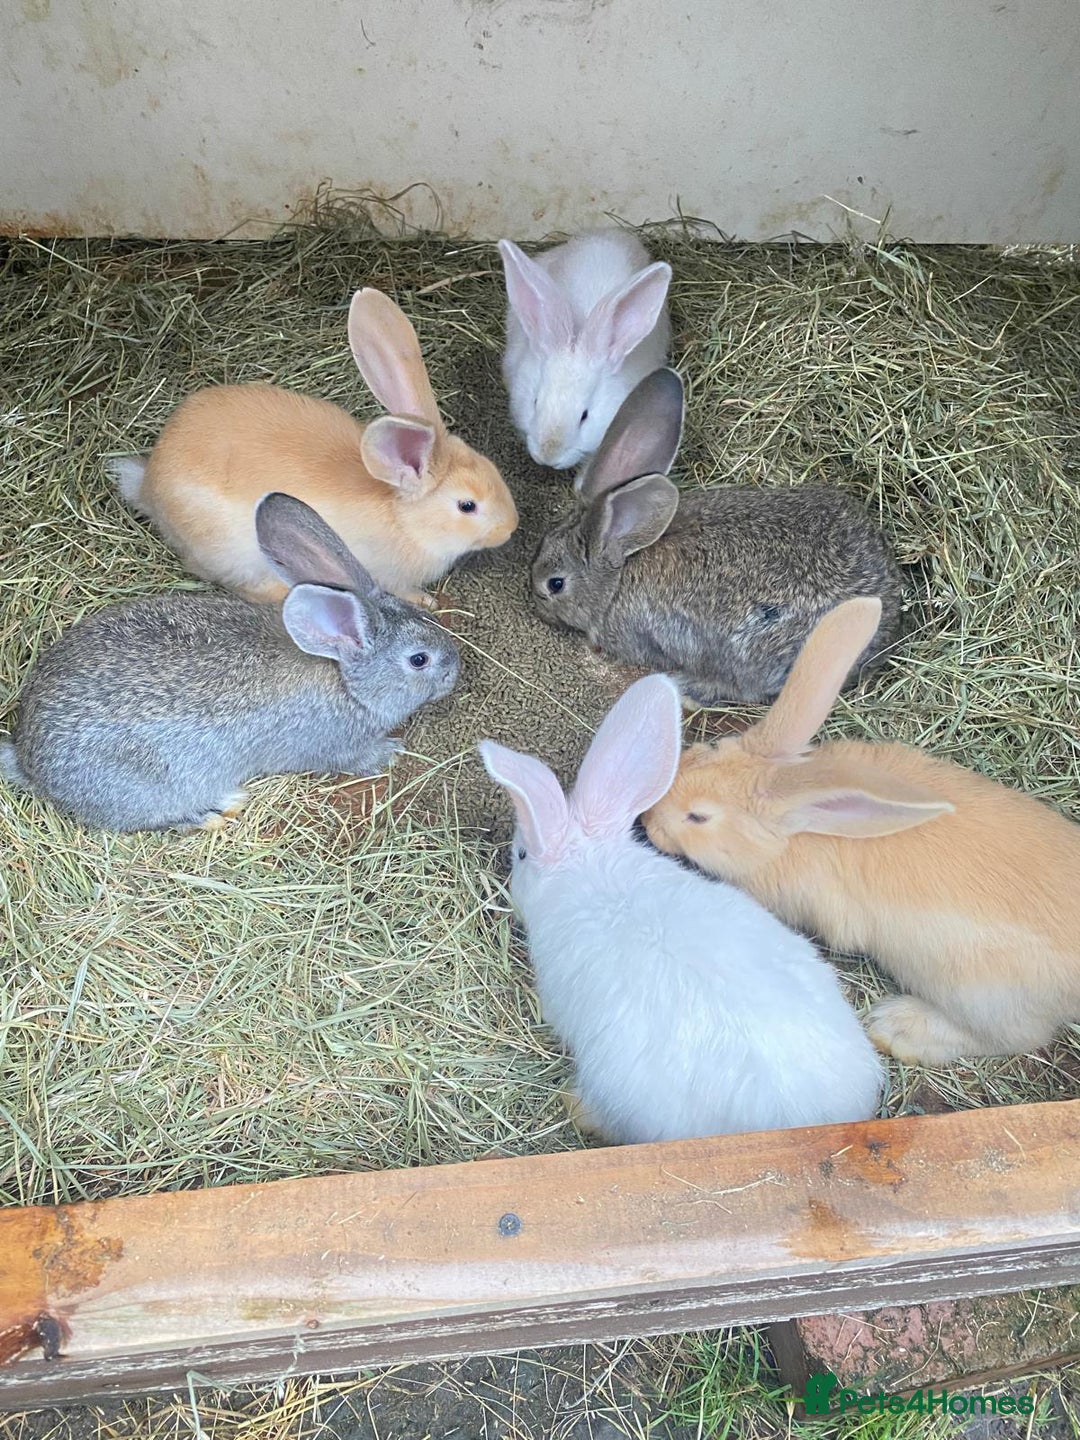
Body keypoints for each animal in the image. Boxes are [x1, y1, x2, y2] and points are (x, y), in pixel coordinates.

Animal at [0, 493, 460, 833]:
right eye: (419, 660)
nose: (456, 668)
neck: (344, 675)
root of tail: (30, 762)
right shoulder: (333, 746)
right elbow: (353, 759)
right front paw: (391, 751)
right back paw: (215, 811)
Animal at [110, 288, 518, 606]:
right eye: (467, 506)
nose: (511, 528)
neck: (405, 520)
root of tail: (149, 485)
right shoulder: (385, 573)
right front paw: (427, 600)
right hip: (234, 553)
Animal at [643, 597, 1080, 1067]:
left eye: (698, 817)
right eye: (706, 750)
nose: (648, 820)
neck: (795, 832)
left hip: (982, 997)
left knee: (1012, 1037)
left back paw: (897, 1028)